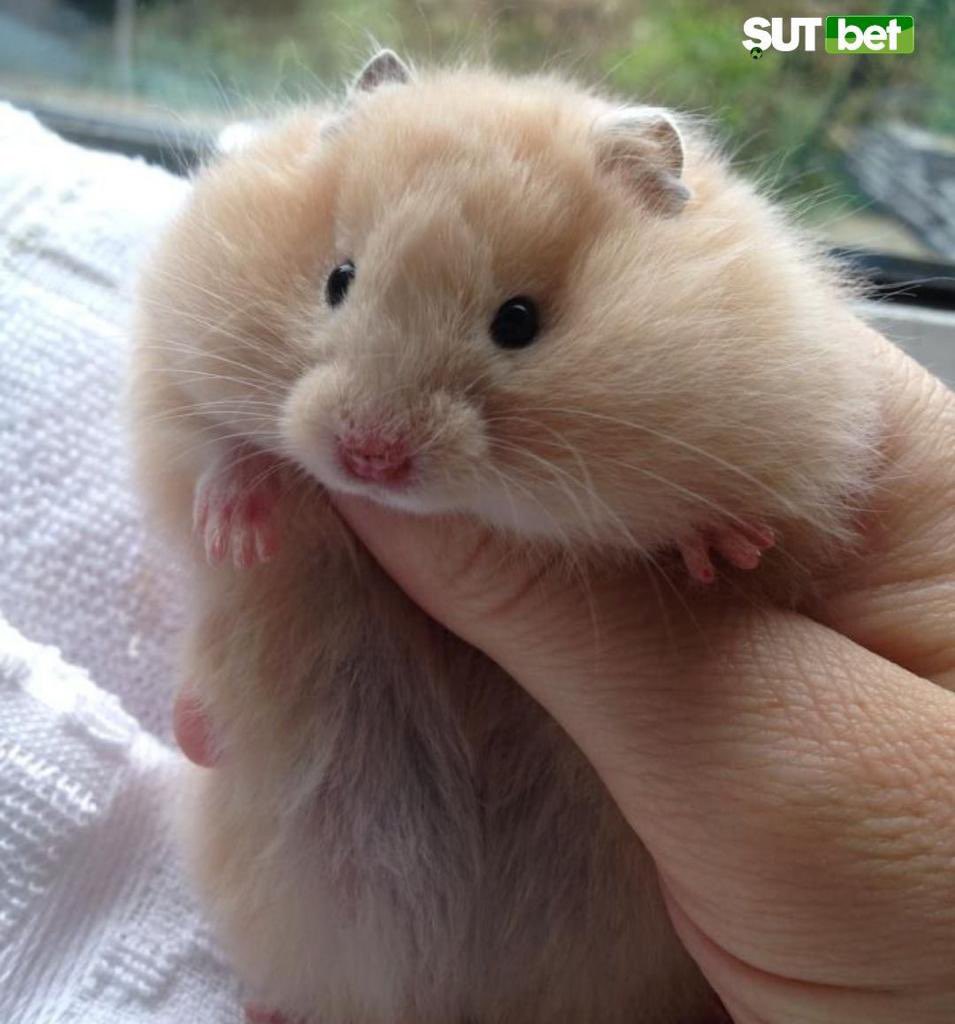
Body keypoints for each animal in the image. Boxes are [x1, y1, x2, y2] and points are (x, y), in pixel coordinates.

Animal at [131, 51, 879, 1024]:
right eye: (337, 278)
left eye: (517, 321)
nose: (368, 456)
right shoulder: (169, 362)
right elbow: (209, 445)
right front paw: (237, 532)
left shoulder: (800, 440)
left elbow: (765, 532)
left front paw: (720, 554)